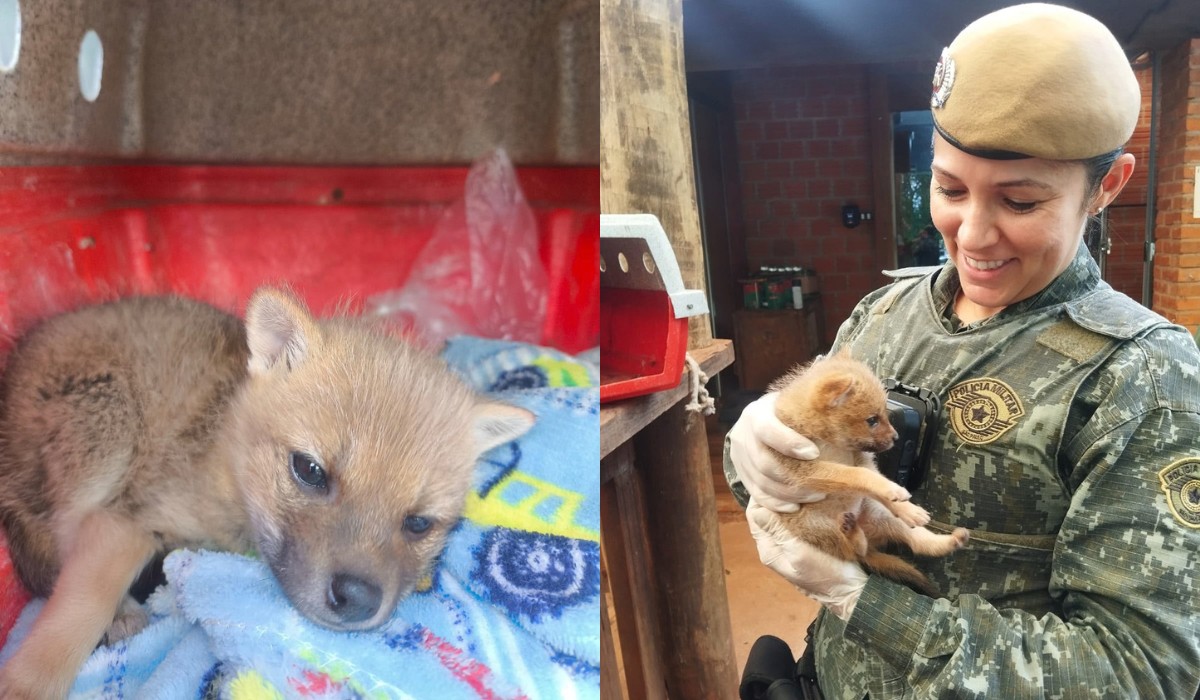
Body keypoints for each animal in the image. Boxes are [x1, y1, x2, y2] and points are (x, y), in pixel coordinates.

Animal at [0, 288, 535, 699]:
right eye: (310, 470)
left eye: (419, 523)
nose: (358, 599)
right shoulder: (122, 521)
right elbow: (75, 615)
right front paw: (28, 682)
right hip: (106, 430)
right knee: (57, 540)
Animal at [764, 350, 968, 597]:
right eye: (872, 420)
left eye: (885, 414)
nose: (896, 438)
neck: (831, 443)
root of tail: (869, 534)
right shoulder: (809, 470)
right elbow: (858, 475)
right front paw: (895, 493)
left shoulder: (862, 461)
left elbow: (875, 480)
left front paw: (907, 507)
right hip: (819, 527)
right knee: (854, 552)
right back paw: (852, 533)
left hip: (880, 515)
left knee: (916, 542)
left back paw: (950, 539)